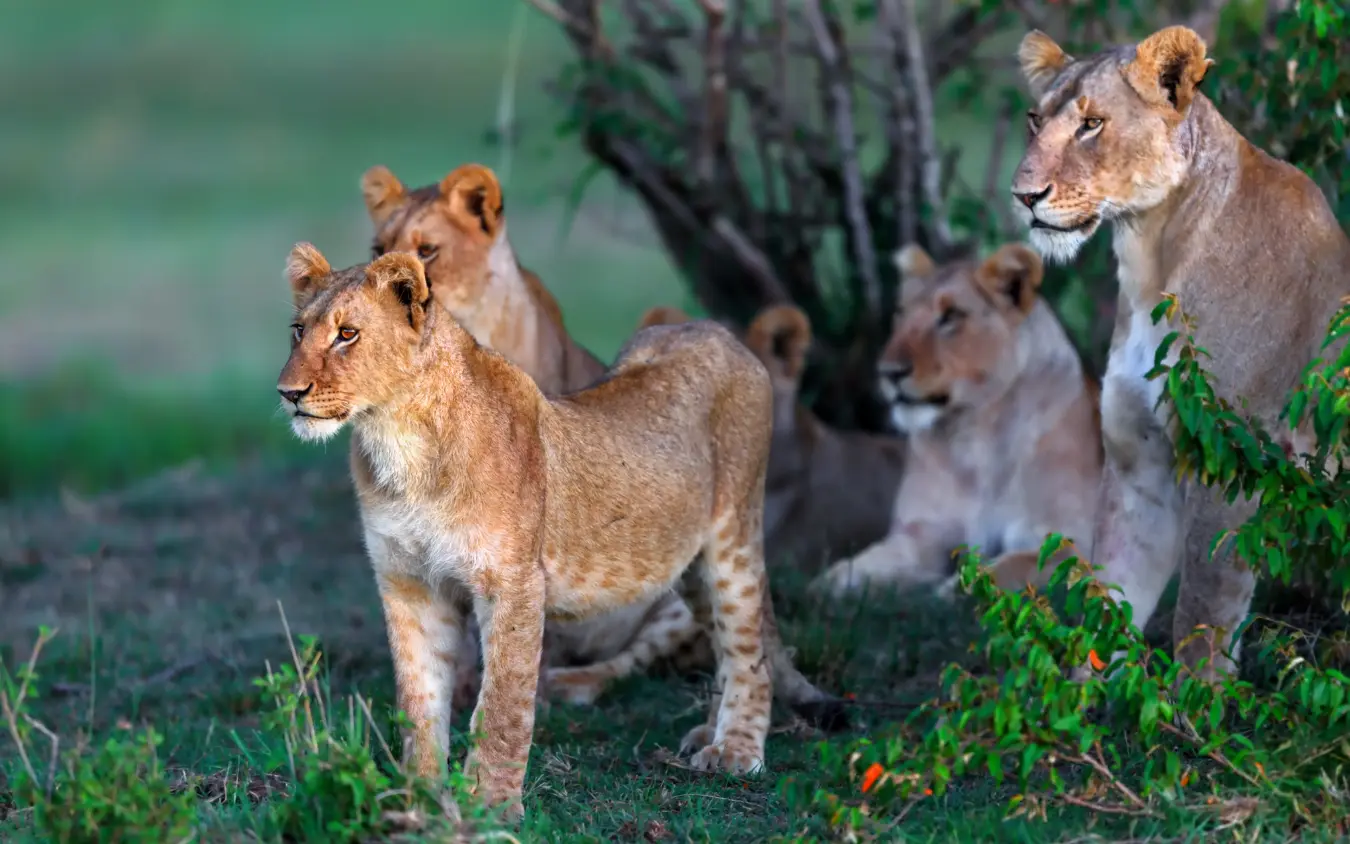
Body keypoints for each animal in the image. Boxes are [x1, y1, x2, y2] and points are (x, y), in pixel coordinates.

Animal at [275, 245, 837, 818]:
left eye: (348, 334)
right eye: (298, 331)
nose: (288, 392)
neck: (397, 439)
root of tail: (716, 332)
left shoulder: (514, 583)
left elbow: (503, 704)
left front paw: (490, 807)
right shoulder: (408, 584)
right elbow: (418, 699)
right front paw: (419, 798)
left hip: (733, 537)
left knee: (749, 651)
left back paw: (734, 750)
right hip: (687, 565)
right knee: (725, 642)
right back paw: (707, 732)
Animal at [816, 242, 1103, 599]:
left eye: (951, 316)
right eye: (901, 313)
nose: (889, 372)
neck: (973, 435)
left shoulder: (1074, 545)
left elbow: (1006, 568)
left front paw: (948, 591)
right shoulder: (921, 534)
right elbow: (860, 565)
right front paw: (823, 586)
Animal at [1011, 25, 1350, 677]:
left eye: (1092, 124)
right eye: (1035, 120)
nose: (1023, 195)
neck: (1148, 255)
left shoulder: (1237, 459)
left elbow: (1202, 613)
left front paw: (1200, 703)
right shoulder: (1139, 464)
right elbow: (1109, 597)